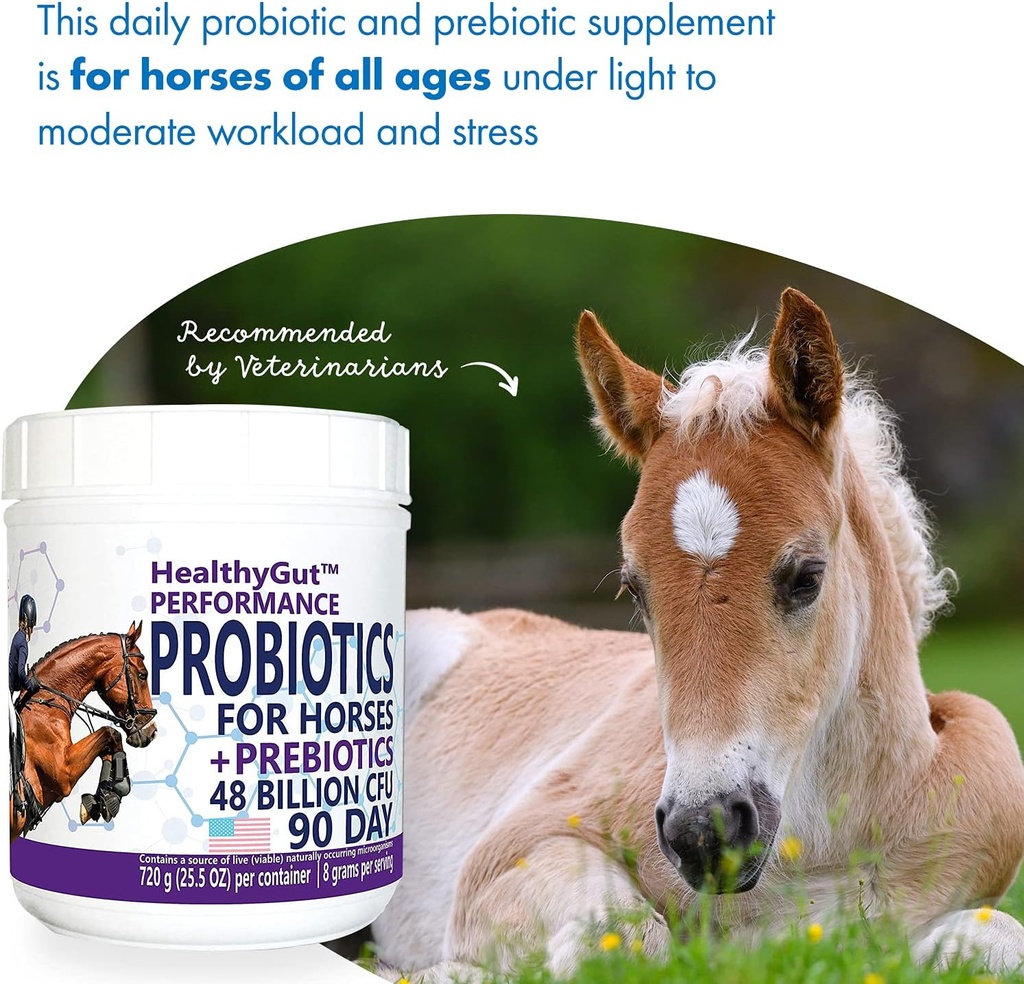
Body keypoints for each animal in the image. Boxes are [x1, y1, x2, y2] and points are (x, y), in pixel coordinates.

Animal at [9, 620, 158, 841]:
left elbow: (109, 745)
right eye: (143, 674)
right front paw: (119, 788)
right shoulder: (64, 771)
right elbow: (110, 732)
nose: (152, 732)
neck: (46, 704)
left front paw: (104, 797)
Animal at [371, 289, 1024, 980]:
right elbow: (623, 937)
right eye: (634, 588)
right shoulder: (512, 845)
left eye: (807, 576)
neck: (822, 839)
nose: (704, 833)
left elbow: (999, 942)